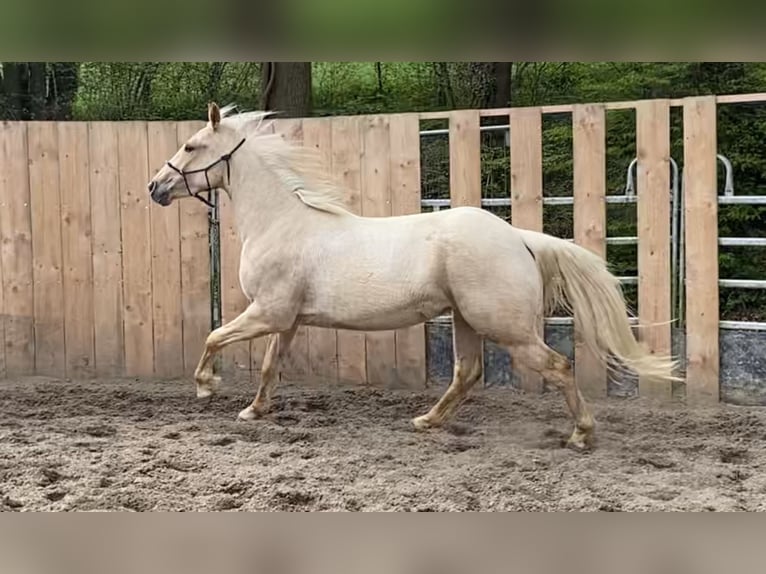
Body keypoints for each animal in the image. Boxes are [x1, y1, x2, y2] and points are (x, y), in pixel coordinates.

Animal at [147, 102, 679, 450]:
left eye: (192, 145)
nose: (156, 187)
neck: (283, 222)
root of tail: (519, 237)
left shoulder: (269, 312)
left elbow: (214, 336)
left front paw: (206, 386)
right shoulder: (288, 319)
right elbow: (269, 366)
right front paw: (253, 411)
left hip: (503, 326)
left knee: (557, 366)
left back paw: (581, 435)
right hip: (465, 319)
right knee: (467, 372)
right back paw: (426, 421)